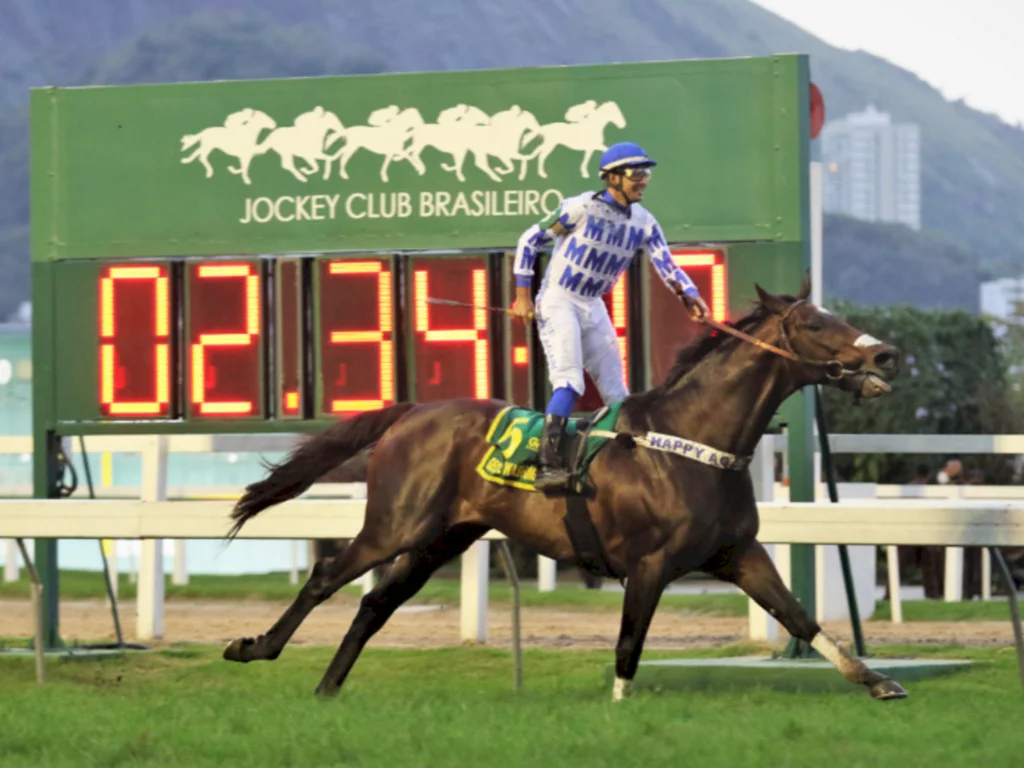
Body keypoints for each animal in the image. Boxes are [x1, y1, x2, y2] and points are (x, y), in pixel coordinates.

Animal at [222, 276, 906, 701]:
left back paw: (328, 687)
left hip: (440, 539)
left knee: (374, 605)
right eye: (815, 323)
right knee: (326, 577)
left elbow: (800, 617)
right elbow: (629, 644)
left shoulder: (738, 554)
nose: (887, 354)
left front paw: (878, 681)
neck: (694, 441)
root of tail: (412, 410)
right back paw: (255, 647)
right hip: (397, 524)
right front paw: (618, 707)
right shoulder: (649, 563)